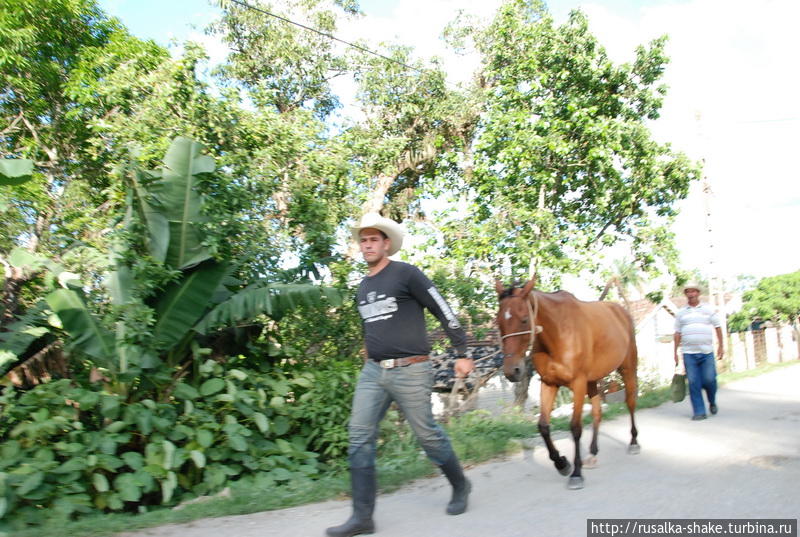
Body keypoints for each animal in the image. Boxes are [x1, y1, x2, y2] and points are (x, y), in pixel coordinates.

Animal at [494, 278, 636, 488]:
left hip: (628, 368)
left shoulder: (578, 383)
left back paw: (634, 442)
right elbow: (543, 426)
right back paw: (592, 454)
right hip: (593, 381)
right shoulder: (549, 383)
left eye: (524, 319)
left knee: (631, 402)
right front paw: (562, 463)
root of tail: (621, 310)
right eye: (499, 322)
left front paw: (576, 473)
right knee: (597, 413)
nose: (512, 371)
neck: (559, 333)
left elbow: (575, 428)